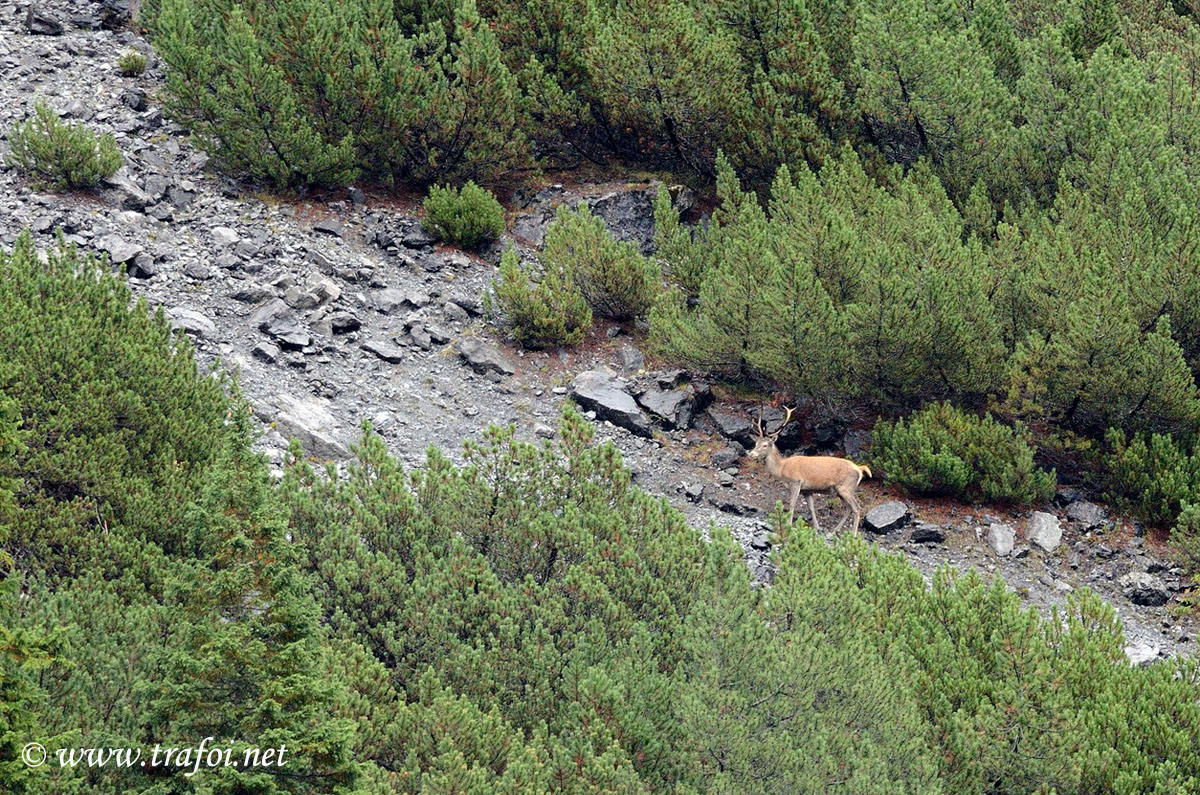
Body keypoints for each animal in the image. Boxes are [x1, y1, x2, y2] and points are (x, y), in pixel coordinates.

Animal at [746, 406, 872, 535]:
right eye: (755, 443)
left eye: (765, 445)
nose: (751, 454)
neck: (782, 469)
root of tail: (859, 469)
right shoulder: (807, 490)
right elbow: (811, 508)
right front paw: (817, 527)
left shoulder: (796, 482)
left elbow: (792, 504)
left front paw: (789, 525)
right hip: (840, 490)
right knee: (848, 508)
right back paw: (835, 530)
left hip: (847, 487)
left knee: (857, 508)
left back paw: (853, 535)